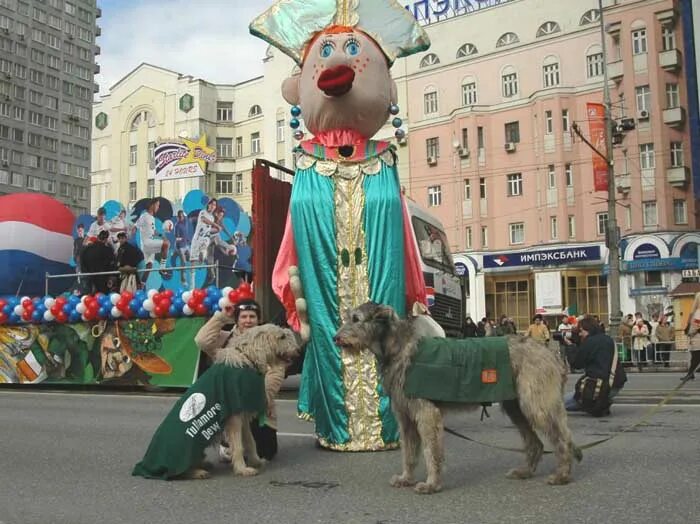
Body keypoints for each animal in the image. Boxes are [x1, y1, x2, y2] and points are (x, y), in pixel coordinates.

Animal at [334, 304, 580, 494]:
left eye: (356, 319)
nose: (335, 338)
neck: (399, 347)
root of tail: (550, 354)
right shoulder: (405, 416)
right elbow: (409, 452)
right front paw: (406, 478)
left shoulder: (426, 413)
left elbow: (430, 451)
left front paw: (432, 484)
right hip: (515, 406)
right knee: (536, 442)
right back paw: (525, 471)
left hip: (537, 403)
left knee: (563, 438)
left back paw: (562, 475)